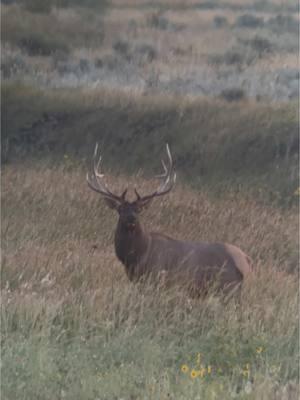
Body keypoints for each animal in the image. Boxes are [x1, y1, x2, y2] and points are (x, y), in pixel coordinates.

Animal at [87, 144, 253, 294]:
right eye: (120, 209)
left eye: (139, 209)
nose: (131, 219)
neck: (138, 255)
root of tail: (247, 261)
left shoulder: (156, 278)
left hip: (228, 287)